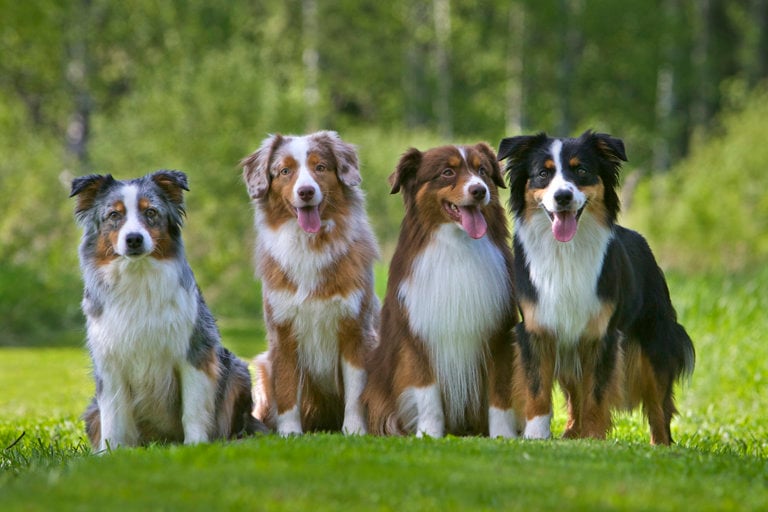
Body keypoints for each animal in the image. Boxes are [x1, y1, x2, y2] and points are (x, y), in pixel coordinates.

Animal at [242, 131, 380, 436]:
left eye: (321, 167)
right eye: (285, 171)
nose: (306, 191)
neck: (310, 243)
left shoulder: (356, 330)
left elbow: (356, 392)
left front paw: (355, 431)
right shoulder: (283, 332)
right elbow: (286, 389)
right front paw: (290, 433)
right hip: (262, 365)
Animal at [364, 143, 520, 436]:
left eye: (482, 170)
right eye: (447, 172)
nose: (479, 190)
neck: (457, 245)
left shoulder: (499, 334)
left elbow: (500, 392)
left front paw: (503, 435)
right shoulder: (417, 337)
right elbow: (428, 396)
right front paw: (429, 435)